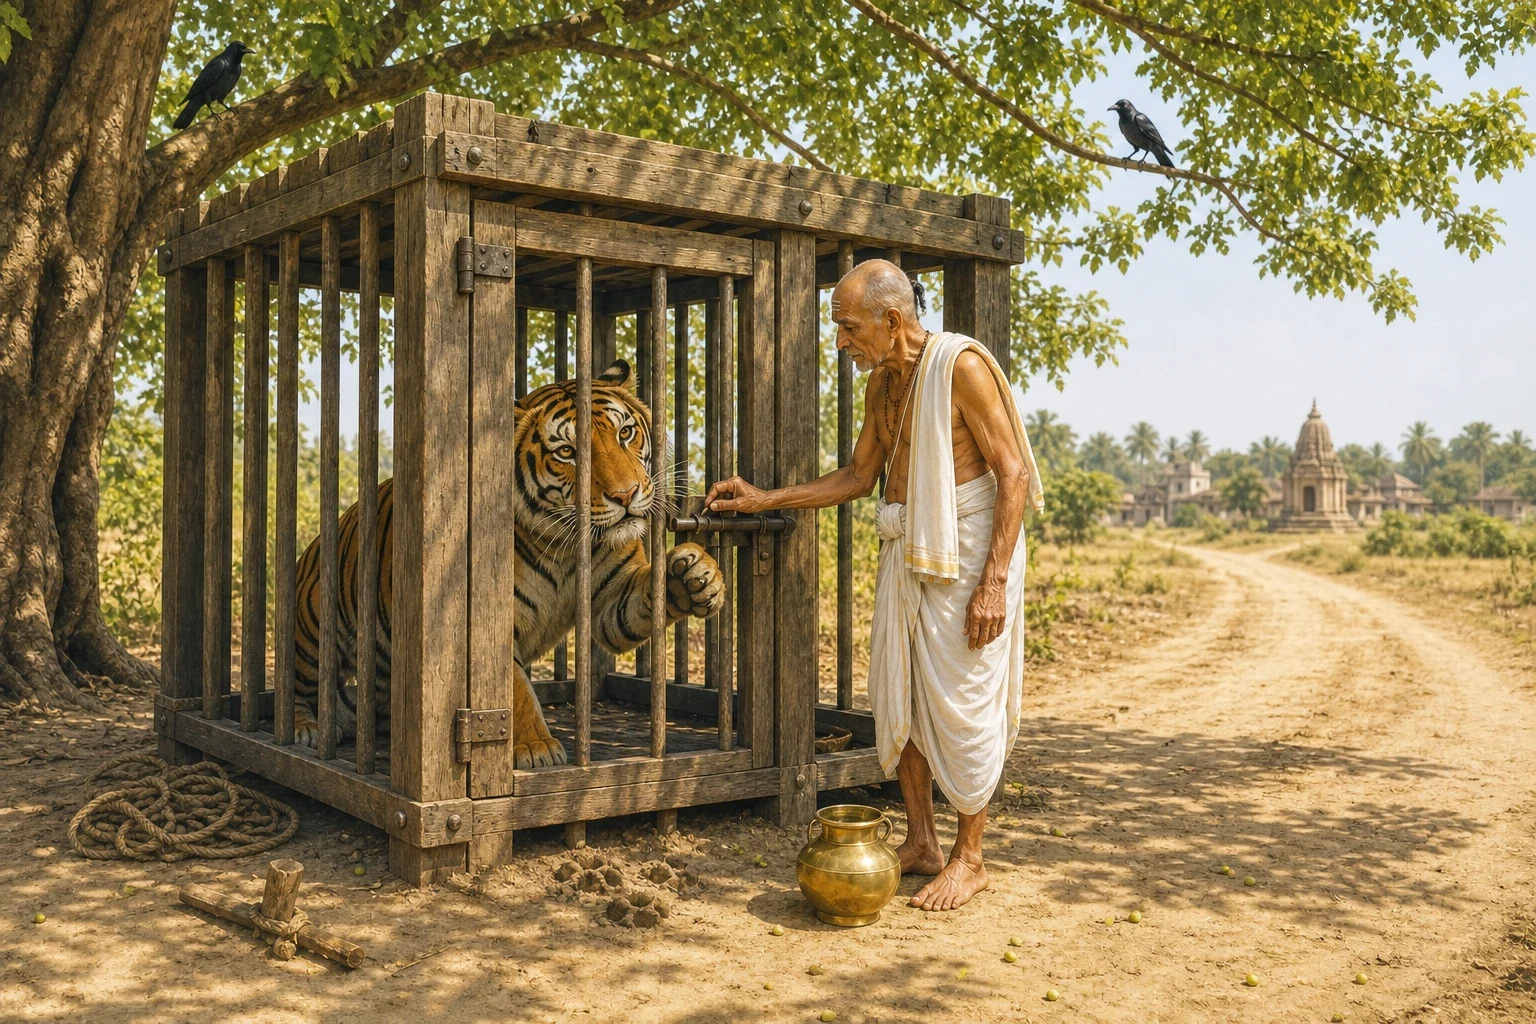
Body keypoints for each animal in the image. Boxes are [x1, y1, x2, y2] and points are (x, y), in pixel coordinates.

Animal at [291, 359, 726, 767]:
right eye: (566, 452)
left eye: (625, 434)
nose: (626, 494)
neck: (566, 544)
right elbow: (514, 691)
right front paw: (536, 749)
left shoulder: (611, 598)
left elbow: (638, 603)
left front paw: (695, 575)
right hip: (313, 628)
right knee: (298, 684)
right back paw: (307, 729)